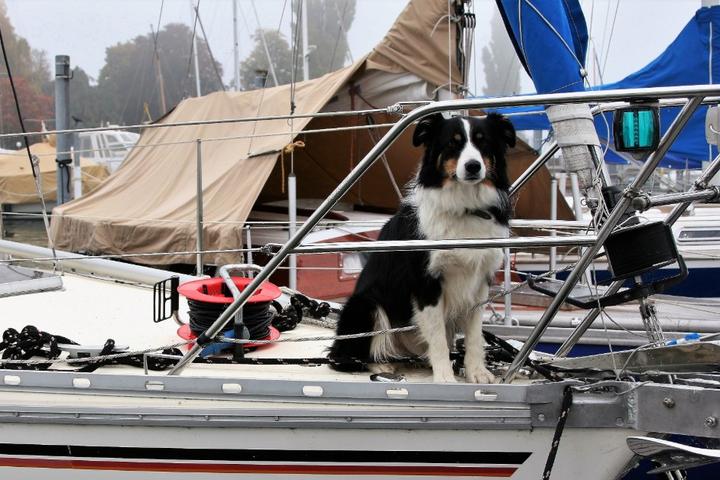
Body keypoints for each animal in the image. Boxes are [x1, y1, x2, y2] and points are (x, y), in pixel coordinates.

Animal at [330, 111, 516, 382]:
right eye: (452, 143)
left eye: (483, 142)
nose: (473, 166)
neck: (465, 208)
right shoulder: (426, 283)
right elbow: (437, 337)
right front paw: (445, 378)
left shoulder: (480, 280)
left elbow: (474, 334)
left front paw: (477, 373)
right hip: (366, 305)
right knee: (347, 356)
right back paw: (382, 365)